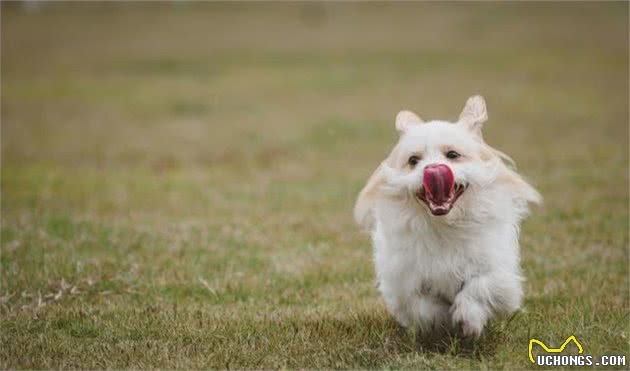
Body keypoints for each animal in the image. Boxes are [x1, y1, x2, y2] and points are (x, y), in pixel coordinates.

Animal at [356, 95, 544, 340]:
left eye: (452, 155)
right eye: (413, 160)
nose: (433, 168)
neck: (443, 226)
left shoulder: (498, 275)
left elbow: (477, 288)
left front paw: (467, 320)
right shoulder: (403, 284)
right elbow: (423, 306)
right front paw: (442, 322)